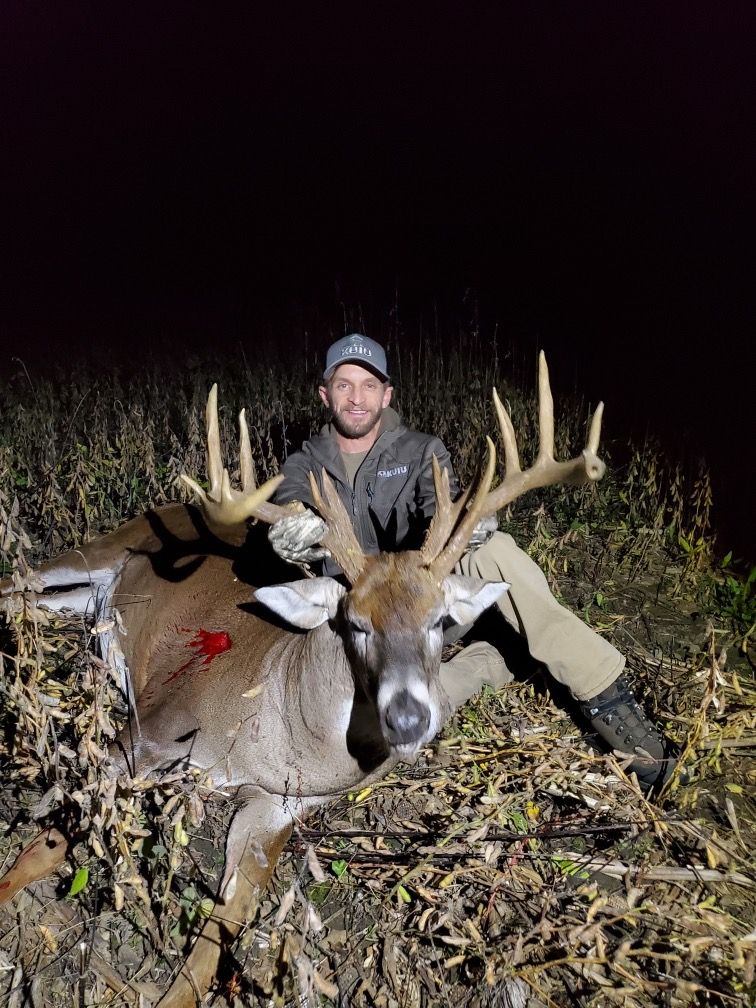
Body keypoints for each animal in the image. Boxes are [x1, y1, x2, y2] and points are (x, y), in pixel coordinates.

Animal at [0, 353, 605, 1007]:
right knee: (17, 582)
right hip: (94, 552)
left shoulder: (276, 808)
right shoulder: (153, 730)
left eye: (440, 620)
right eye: (355, 622)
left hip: (84, 602)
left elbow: (223, 928)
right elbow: (51, 840)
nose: (409, 718)